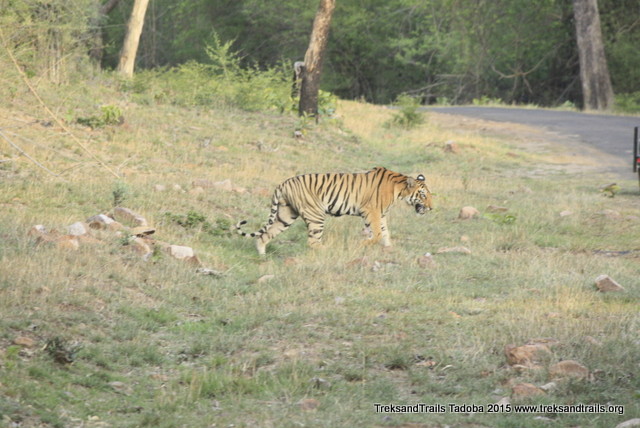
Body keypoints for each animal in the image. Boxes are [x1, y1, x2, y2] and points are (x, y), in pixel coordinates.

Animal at [236, 166, 436, 254]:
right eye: (423, 195)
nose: (431, 208)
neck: (399, 188)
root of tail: (283, 183)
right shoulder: (371, 212)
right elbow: (377, 233)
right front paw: (362, 244)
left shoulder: (381, 214)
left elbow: (385, 232)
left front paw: (389, 249)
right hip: (316, 215)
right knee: (313, 242)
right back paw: (329, 250)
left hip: (286, 214)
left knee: (264, 235)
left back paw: (262, 255)